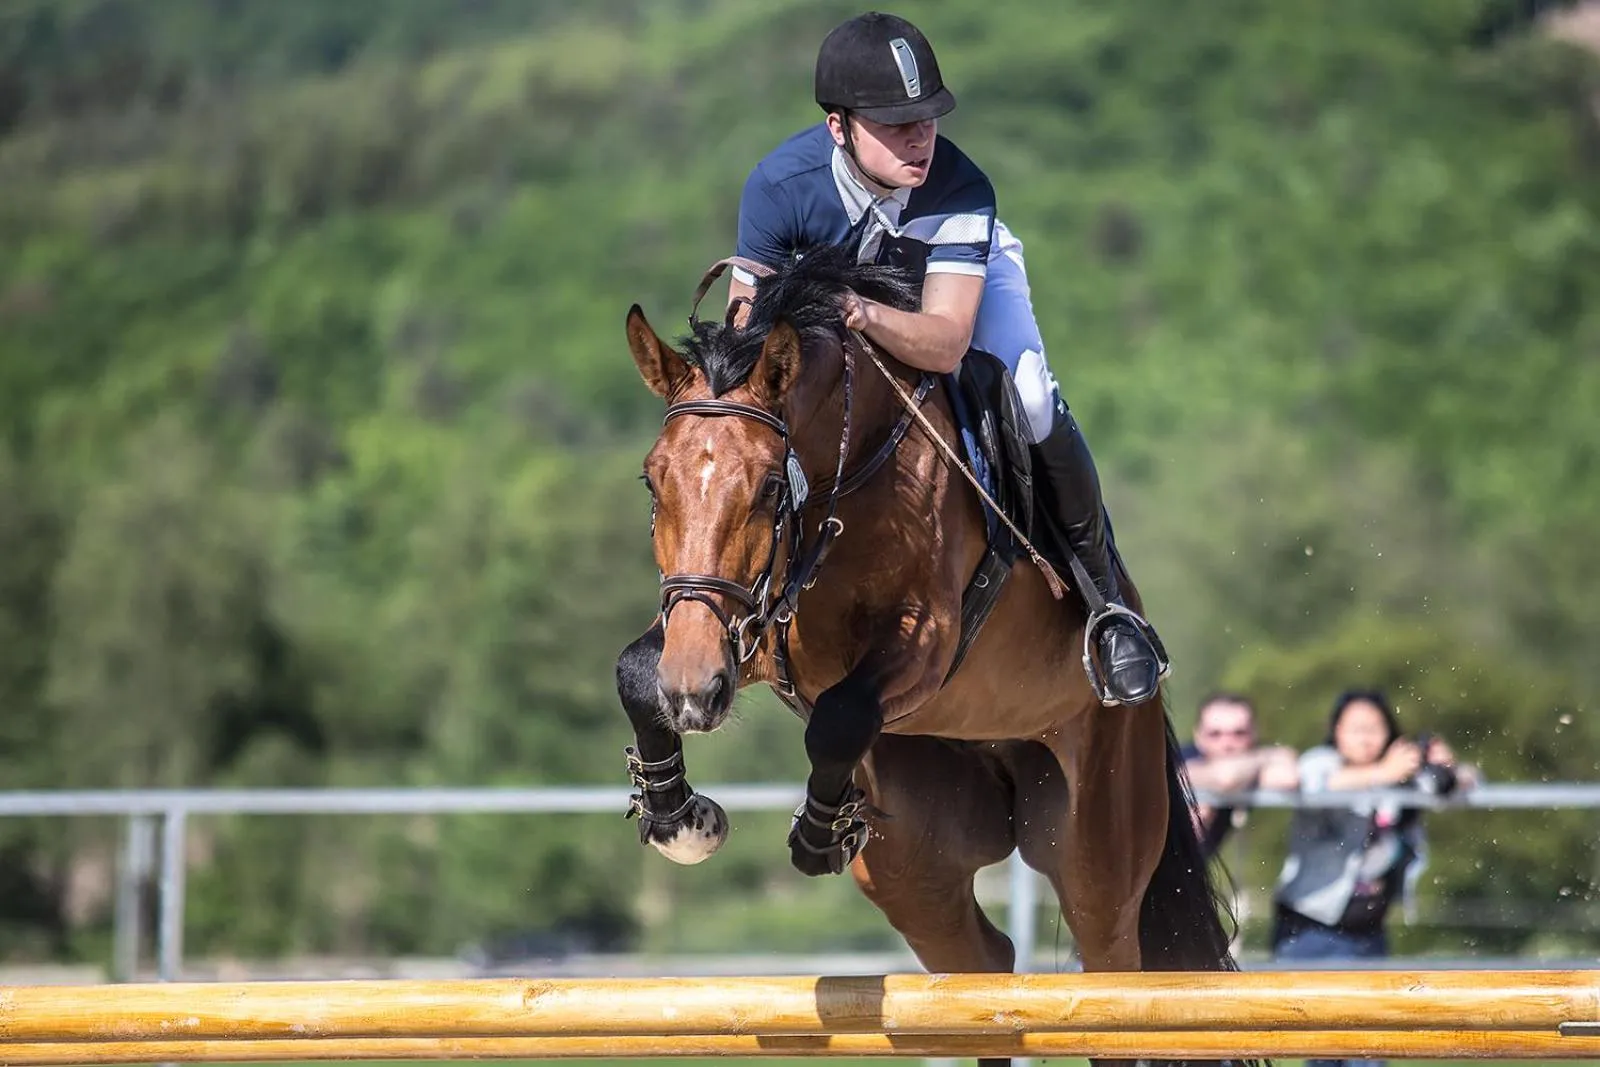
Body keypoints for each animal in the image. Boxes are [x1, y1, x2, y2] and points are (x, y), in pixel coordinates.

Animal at [614, 240, 1252, 1067]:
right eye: (652, 482)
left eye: (767, 489)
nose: (694, 693)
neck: (848, 468)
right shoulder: (741, 628)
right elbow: (635, 670)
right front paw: (678, 817)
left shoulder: (929, 641)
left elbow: (840, 713)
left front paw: (817, 833)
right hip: (914, 871)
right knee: (984, 969)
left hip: (1098, 849)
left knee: (1112, 970)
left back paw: (1120, 653)